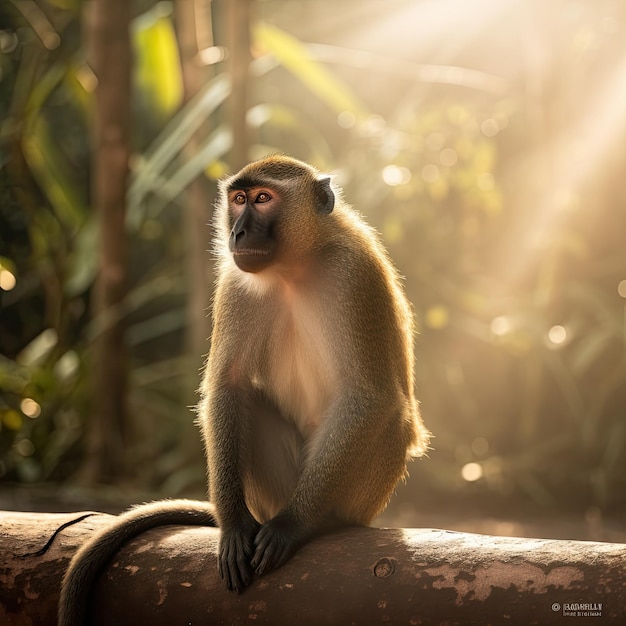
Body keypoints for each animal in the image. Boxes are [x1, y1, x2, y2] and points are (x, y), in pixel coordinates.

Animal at [56, 156, 426, 624]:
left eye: (263, 199)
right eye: (238, 199)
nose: (238, 232)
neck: (293, 268)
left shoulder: (353, 275)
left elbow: (370, 398)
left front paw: (294, 524)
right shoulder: (234, 282)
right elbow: (228, 386)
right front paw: (233, 524)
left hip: (361, 498)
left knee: (390, 421)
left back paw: (320, 521)